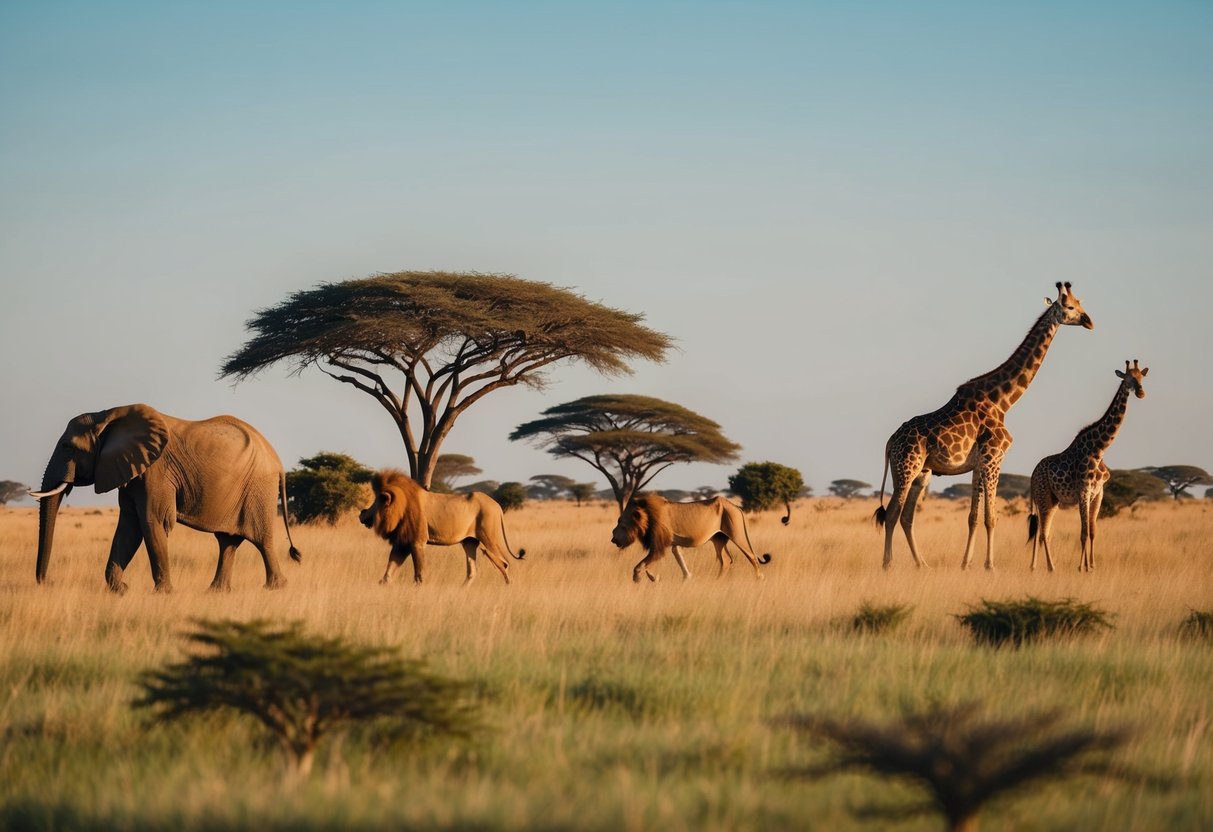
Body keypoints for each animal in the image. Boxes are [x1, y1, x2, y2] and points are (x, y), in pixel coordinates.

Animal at [31, 403, 302, 593]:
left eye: (67, 446)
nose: (49, 582)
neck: (107, 416)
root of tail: (277, 461)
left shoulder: (156, 471)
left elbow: (152, 522)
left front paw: (162, 593)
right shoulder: (131, 471)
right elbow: (128, 527)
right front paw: (121, 590)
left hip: (259, 488)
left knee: (261, 540)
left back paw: (276, 588)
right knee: (227, 541)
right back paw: (216, 592)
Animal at [359, 469, 525, 585]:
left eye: (376, 501)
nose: (362, 513)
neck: (401, 506)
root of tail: (497, 505)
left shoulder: (417, 542)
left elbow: (419, 574)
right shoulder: (402, 543)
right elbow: (388, 572)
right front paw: (383, 585)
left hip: (489, 538)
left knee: (504, 563)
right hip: (470, 542)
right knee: (472, 571)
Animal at [610, 494, 772, 583]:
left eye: (622, 525)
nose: (613, 540)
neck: (647, 514)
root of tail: (736, 506)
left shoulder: (658, 545)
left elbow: (640, 565)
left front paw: (638, 578)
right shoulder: (673, 543)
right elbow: (678, 560)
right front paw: (655, 577)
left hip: (737, 534)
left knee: (751, 556)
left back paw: (760, 578)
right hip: (718, 538)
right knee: (726, 560)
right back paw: (717, 581)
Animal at [873, 282, 1094, 571]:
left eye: (1080, 303)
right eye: (1069, 306)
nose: (1089, 321)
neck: (1003, 401)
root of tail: (890, 441)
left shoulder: (979, 465)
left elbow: (973, 517)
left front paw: (966, 563)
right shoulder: (993, 459)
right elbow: (991, 517)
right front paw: (990, 565)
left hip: (922, 473)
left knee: (906, 516)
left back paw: (922, 564)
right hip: (906, 468)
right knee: (891, 514)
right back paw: (887, 564)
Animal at [1027, 360, 1148, 573]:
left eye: (1141, 377)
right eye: (1128, 378)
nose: (1141, 392)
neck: (1099, 450)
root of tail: (1033, 474)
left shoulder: (1099, 492)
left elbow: (1092, 531)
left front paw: (1092, 565)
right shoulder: (1084, 491)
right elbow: (1083, 532)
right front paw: (1081, 567)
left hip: (1051, 500)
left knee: (1042, 531)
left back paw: (1035, 566)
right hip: (1043, 497)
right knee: (1042, 533)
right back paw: (1051, 567)